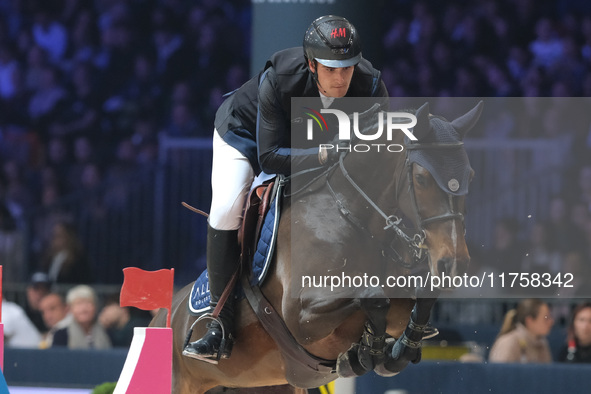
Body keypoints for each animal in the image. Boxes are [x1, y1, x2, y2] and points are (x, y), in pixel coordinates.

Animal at [150, 101, 484, 394]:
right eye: (422, 178)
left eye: (470, 176)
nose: (454, 264)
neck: (353, 218)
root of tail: (161, 317)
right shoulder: (302, 317)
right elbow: (373, 297)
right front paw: (365, 353)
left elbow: (418, 297)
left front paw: (391, 350)